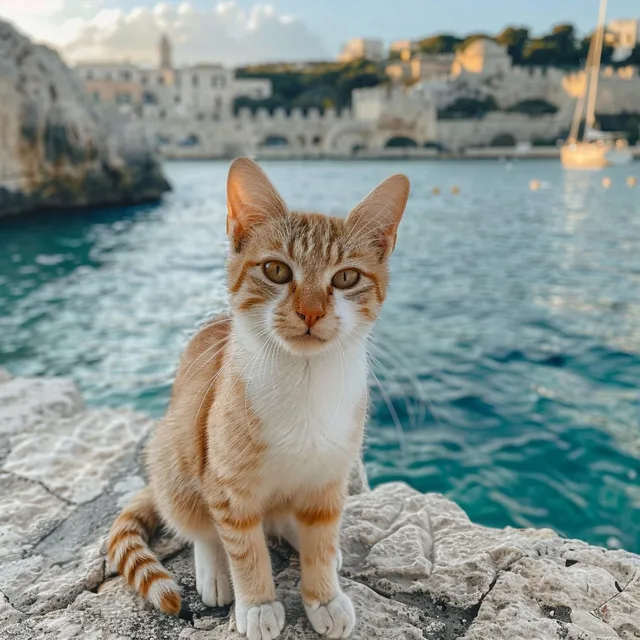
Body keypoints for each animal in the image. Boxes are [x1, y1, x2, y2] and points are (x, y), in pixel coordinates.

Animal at [105, 156, 410, 640]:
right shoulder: (228, 486)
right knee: (198, 524)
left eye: (346, 277)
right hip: (173, 451)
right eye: (276, 271)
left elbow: (321, 536)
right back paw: (213, 568)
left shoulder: (330, 476)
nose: (310, 312)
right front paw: (259, 603)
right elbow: (243, 546)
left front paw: (323, 594)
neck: (304, 383)